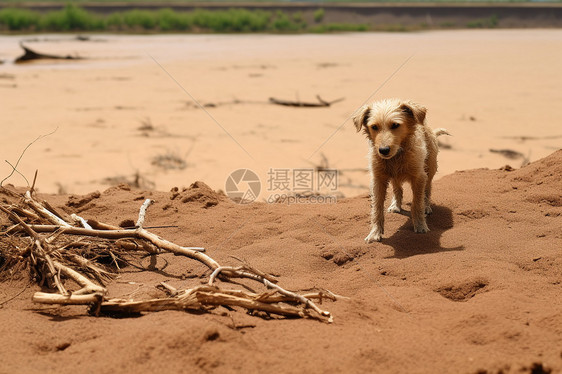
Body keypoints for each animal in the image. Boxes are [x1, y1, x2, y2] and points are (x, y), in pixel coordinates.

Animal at [352, 99, 448, 243]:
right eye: (374, 127)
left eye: (395, 125)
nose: (383, 150)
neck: (396, 156)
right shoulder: (378, 179)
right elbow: (377, 208)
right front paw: (375, 233)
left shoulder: (419, 177)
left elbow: (417, 203)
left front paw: (420, 225)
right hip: (394, 176)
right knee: (398, 188)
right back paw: (396, 205)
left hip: (429, 169)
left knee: (427, 189)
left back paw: (426, 206)